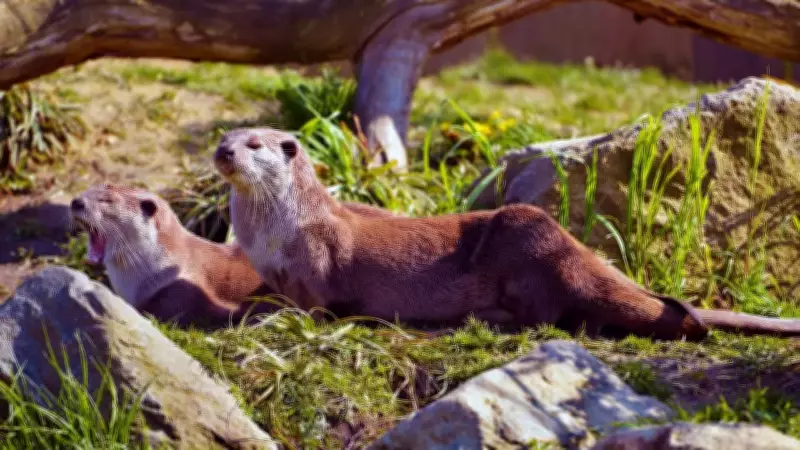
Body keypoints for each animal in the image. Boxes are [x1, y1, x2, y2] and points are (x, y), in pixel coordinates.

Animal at [211, 127, 800, 341]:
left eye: (257, 144)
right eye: (226, 137)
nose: (225, 151)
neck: (277, 233)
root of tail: (576, 251)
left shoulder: (316, 259)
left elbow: (313, 306)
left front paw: (268, 317)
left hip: (527, 236)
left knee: (549, 314)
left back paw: (484, 317)